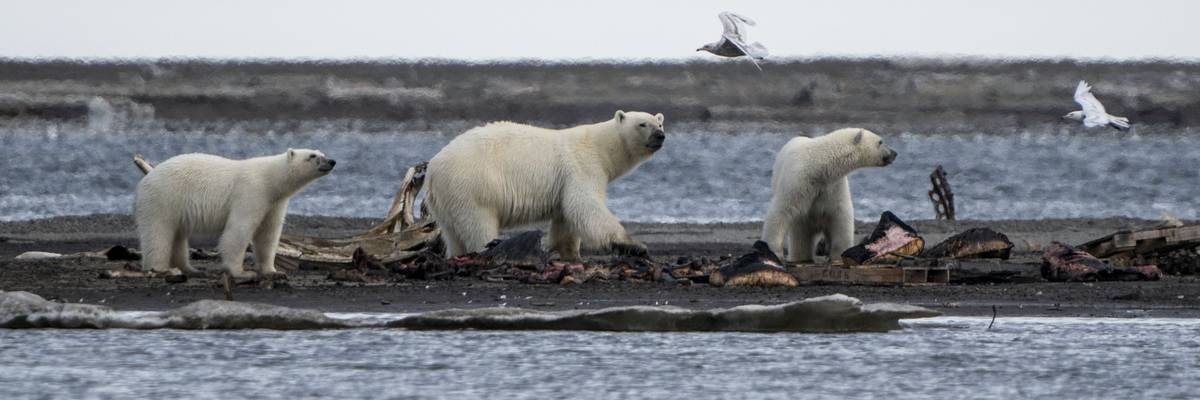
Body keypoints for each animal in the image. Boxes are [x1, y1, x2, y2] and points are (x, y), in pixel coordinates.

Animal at [134, 149, 336, 278]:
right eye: (312, 155)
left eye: (322, 152)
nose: (332, 161)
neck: (270, 179)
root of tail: (149, 174)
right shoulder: (251, 192)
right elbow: (239, 230)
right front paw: (241, 272)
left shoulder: (274, 203)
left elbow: (268, 234)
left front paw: (273, 271)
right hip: (163, 199)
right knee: (158, 233)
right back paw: (162, 269)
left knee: (178, 235)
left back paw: (190, 269)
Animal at [425, 110, 666, 259]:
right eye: (642, 124)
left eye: (659, 122)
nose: (660, 135)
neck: (601, 147)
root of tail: (432, 169)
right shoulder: (582, 166)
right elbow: (585, 206)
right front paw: (634, 246)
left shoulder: (565, 181)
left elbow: (567, 216)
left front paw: (568, 253)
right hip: (471, 186)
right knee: (479, 224)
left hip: (446, 200)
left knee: (453, 234)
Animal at [760, 128, 897, 263]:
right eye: (880, 141)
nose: (894, 153)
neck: (818, 167)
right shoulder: (798, 181)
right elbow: (782, 210)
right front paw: (774, 252)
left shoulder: (833, 186)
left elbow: (840, 216)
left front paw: (838, 255)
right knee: (800, 232)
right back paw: (801, 257)